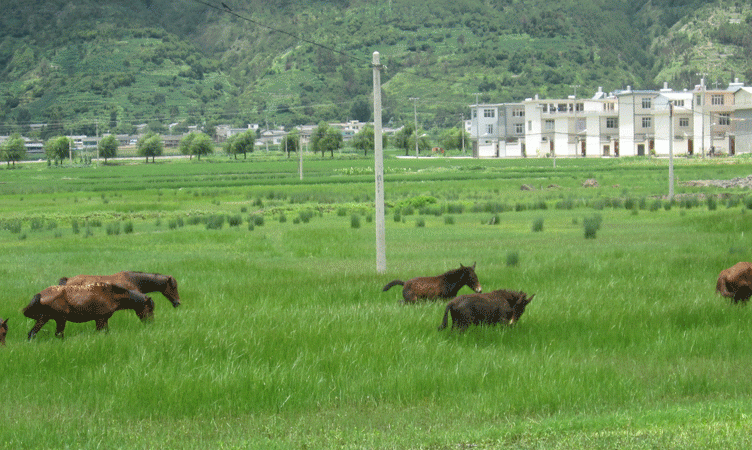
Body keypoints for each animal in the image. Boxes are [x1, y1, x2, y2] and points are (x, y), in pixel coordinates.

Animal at [23, 283, 154, 340]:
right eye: (150, 308)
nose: (151, 323)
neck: (111, 294)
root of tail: (40, 294)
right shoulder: (100, 319)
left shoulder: (103, 319)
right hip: (60, 319)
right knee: (58, 335)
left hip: (44, 318)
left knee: (31, 333)